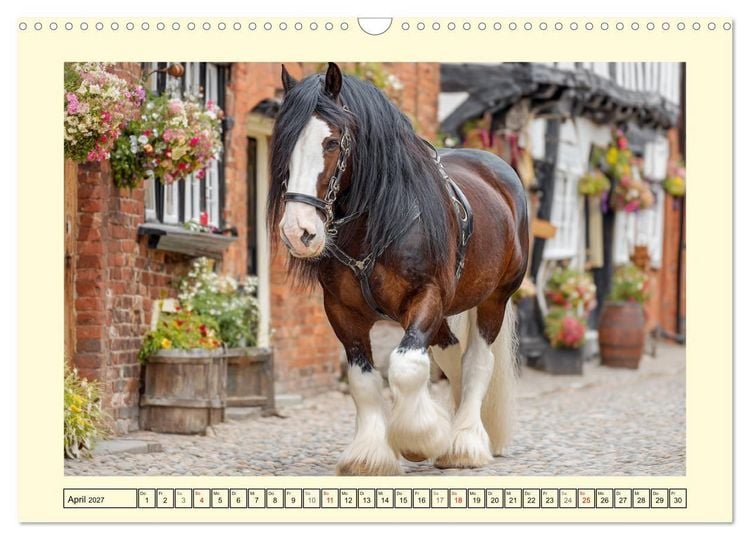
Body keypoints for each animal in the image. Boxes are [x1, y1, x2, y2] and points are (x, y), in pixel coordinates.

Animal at [268, 63, 529, 475]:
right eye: (284, 142)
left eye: (332, 142)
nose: (299, 232)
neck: (377, 223)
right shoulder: (342, 311)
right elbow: (364, 380)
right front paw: (370, 454)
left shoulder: (426, 297)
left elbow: (405, 367)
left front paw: (418, 439)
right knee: (451, 355)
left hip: (495, 299)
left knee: (476, 362)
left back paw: (464, 441)